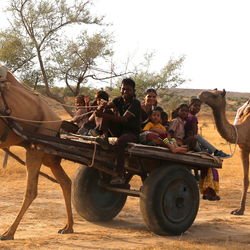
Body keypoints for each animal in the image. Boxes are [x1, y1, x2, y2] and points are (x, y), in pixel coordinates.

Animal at [0, 65, 73, 239]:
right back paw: (68, 227)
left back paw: (8, 232)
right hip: (48, 156)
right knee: (65, 181)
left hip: (37, 148)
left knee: (31, 190)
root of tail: (57, 120)